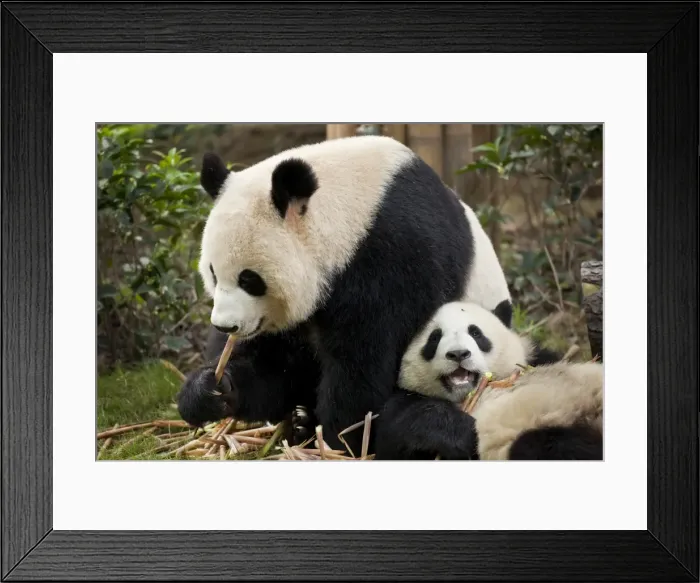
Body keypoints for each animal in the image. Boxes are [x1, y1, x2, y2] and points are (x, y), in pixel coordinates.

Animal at [177, 135, 512, 454]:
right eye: (213, 273)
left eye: (249, 279)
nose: (225, 326)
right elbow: (274, 367)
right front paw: (210, 390)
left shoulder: (395, 257)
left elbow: (362, 363)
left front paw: (338, 439)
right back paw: (299, 422)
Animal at [375, 301, 602, 461]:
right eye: (434, 338)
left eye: (476, 333)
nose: (458, 354)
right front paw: (458, 432)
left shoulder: (536, 359)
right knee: (544, 446)